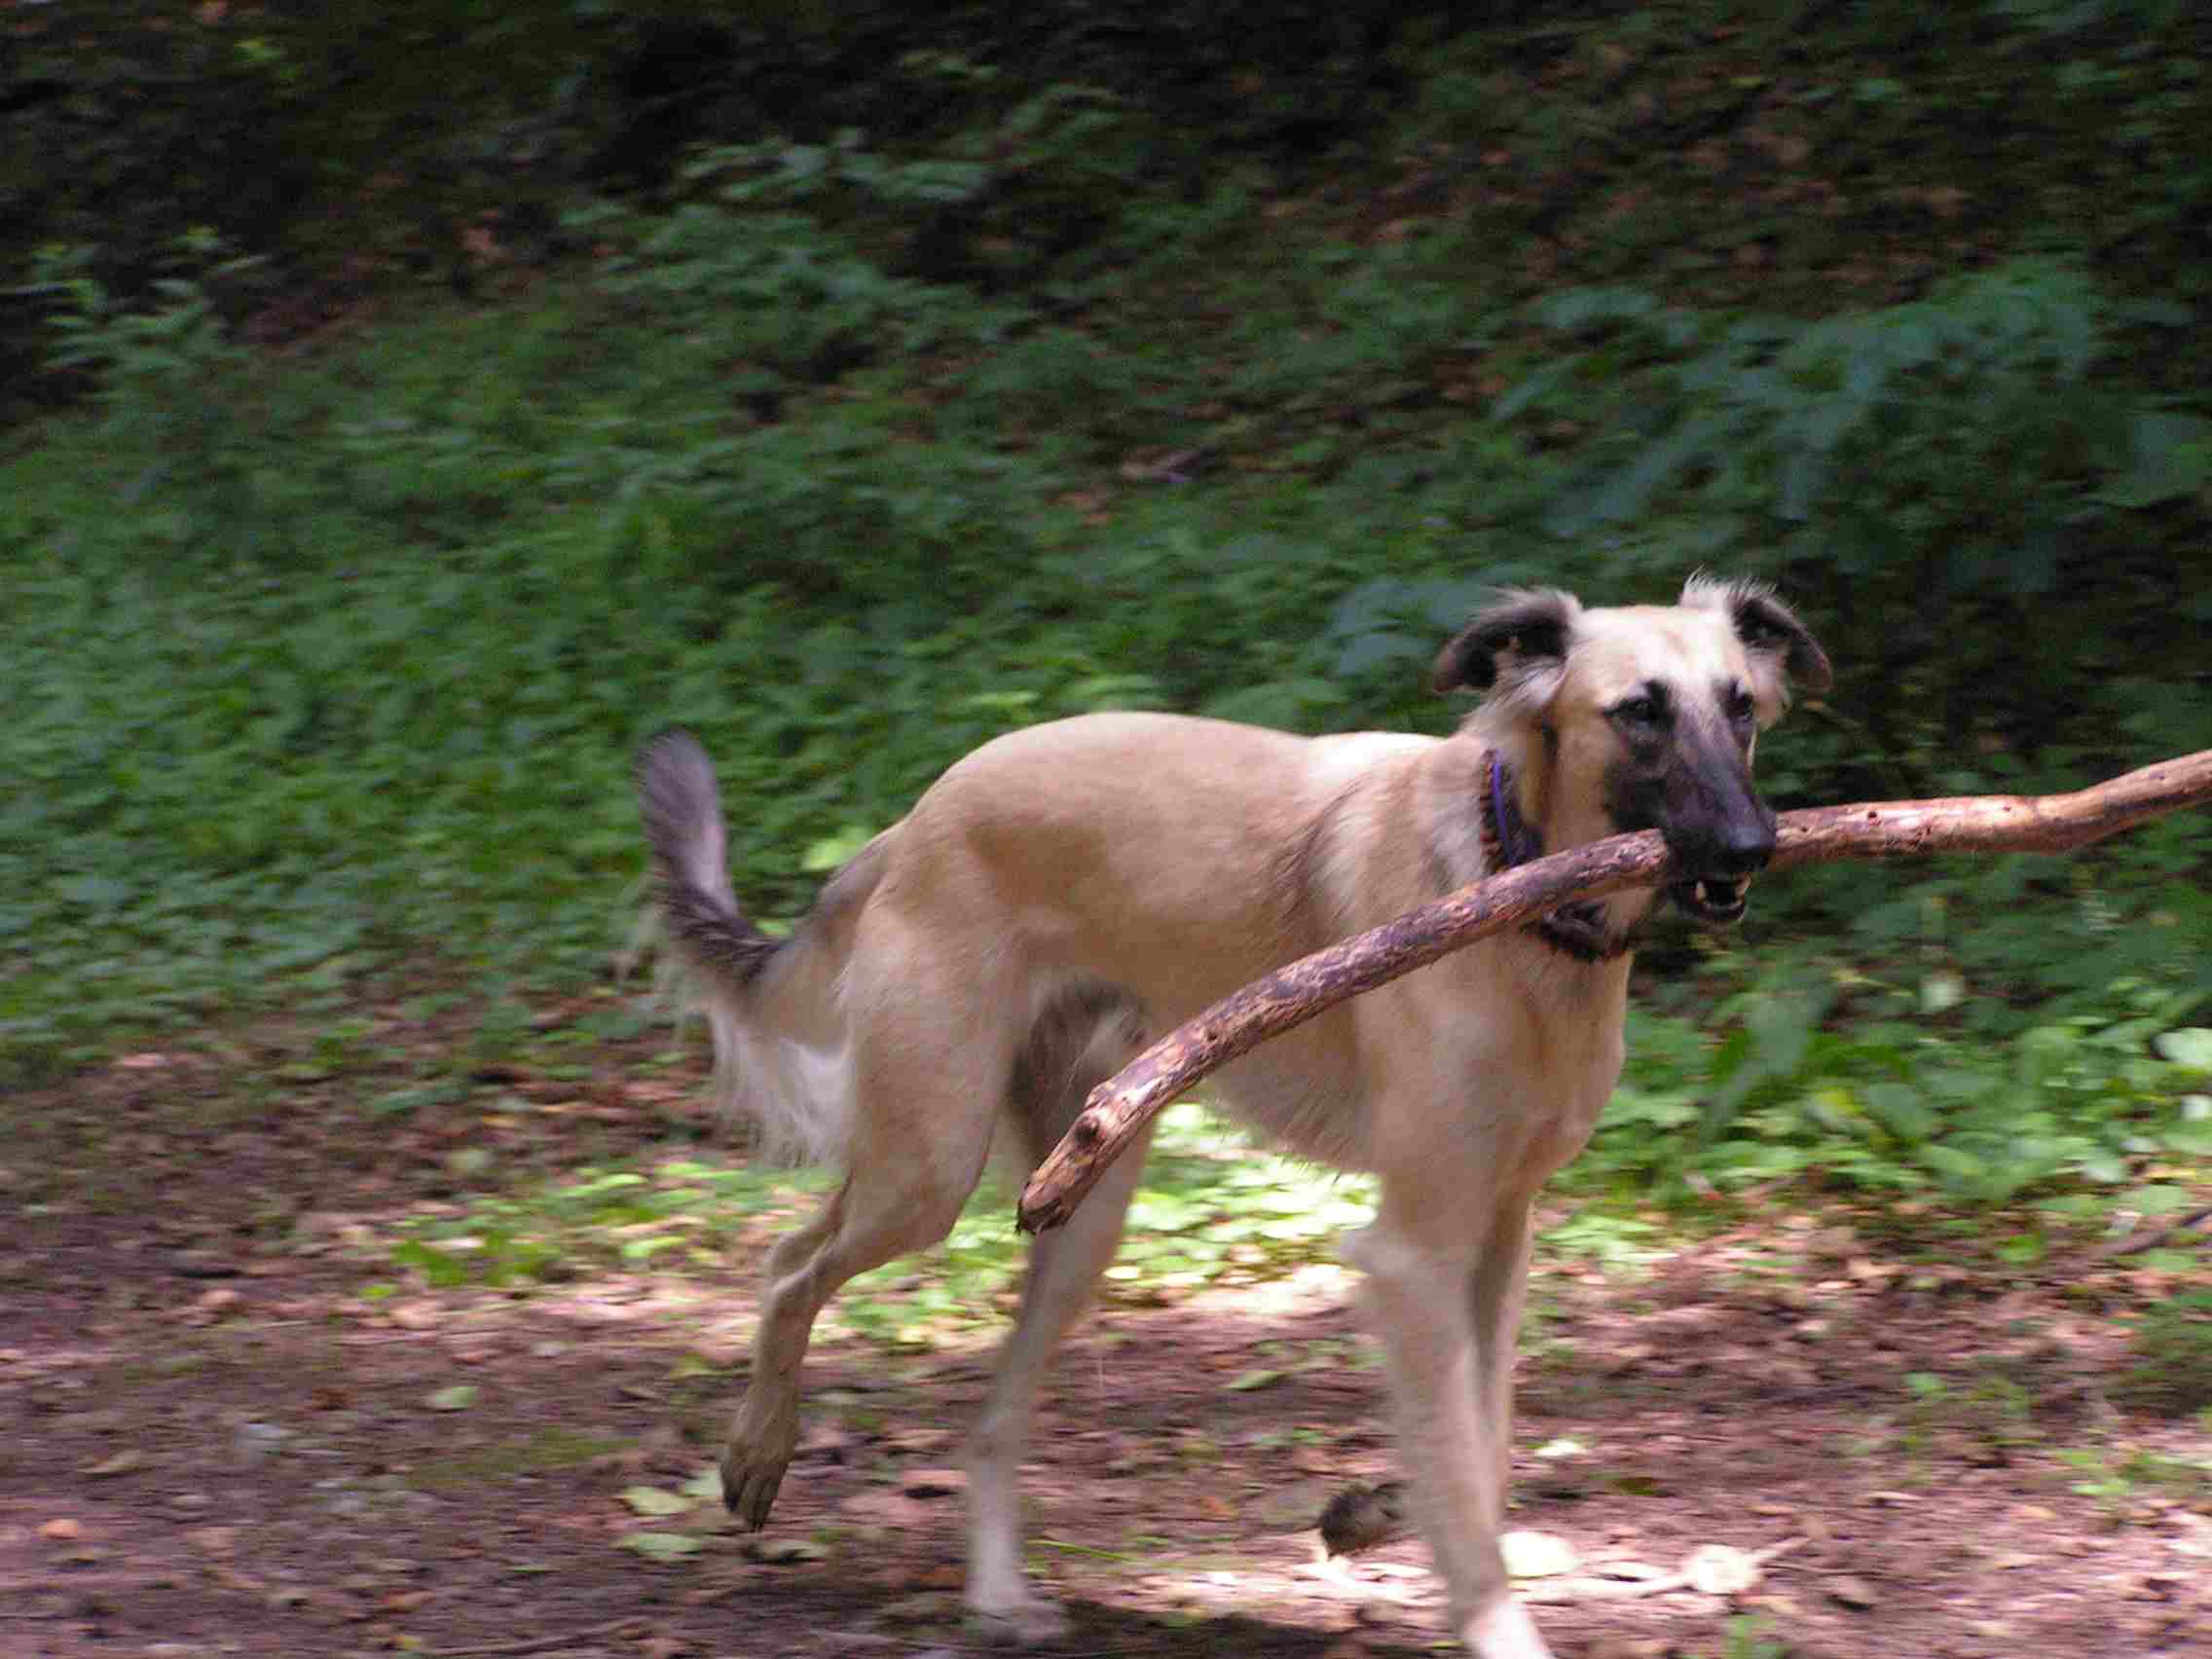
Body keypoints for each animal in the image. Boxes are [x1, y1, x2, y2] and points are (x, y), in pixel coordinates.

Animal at [632, 579, 1823, 1654]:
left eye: (1741, 706)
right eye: (1639, 711)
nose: (1750, 847)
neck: (1514, 882)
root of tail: (914, 822)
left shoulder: (1497, 1236)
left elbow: (1478, 1448)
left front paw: (1377, 1510)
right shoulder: (1413, 1250)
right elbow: (1463, 1478)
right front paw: (1490, 1620)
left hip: (1077, 1210)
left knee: (982, 1414)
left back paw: (997, 1598)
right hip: (933, 1165)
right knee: (789, 1264)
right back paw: (759, 1452)